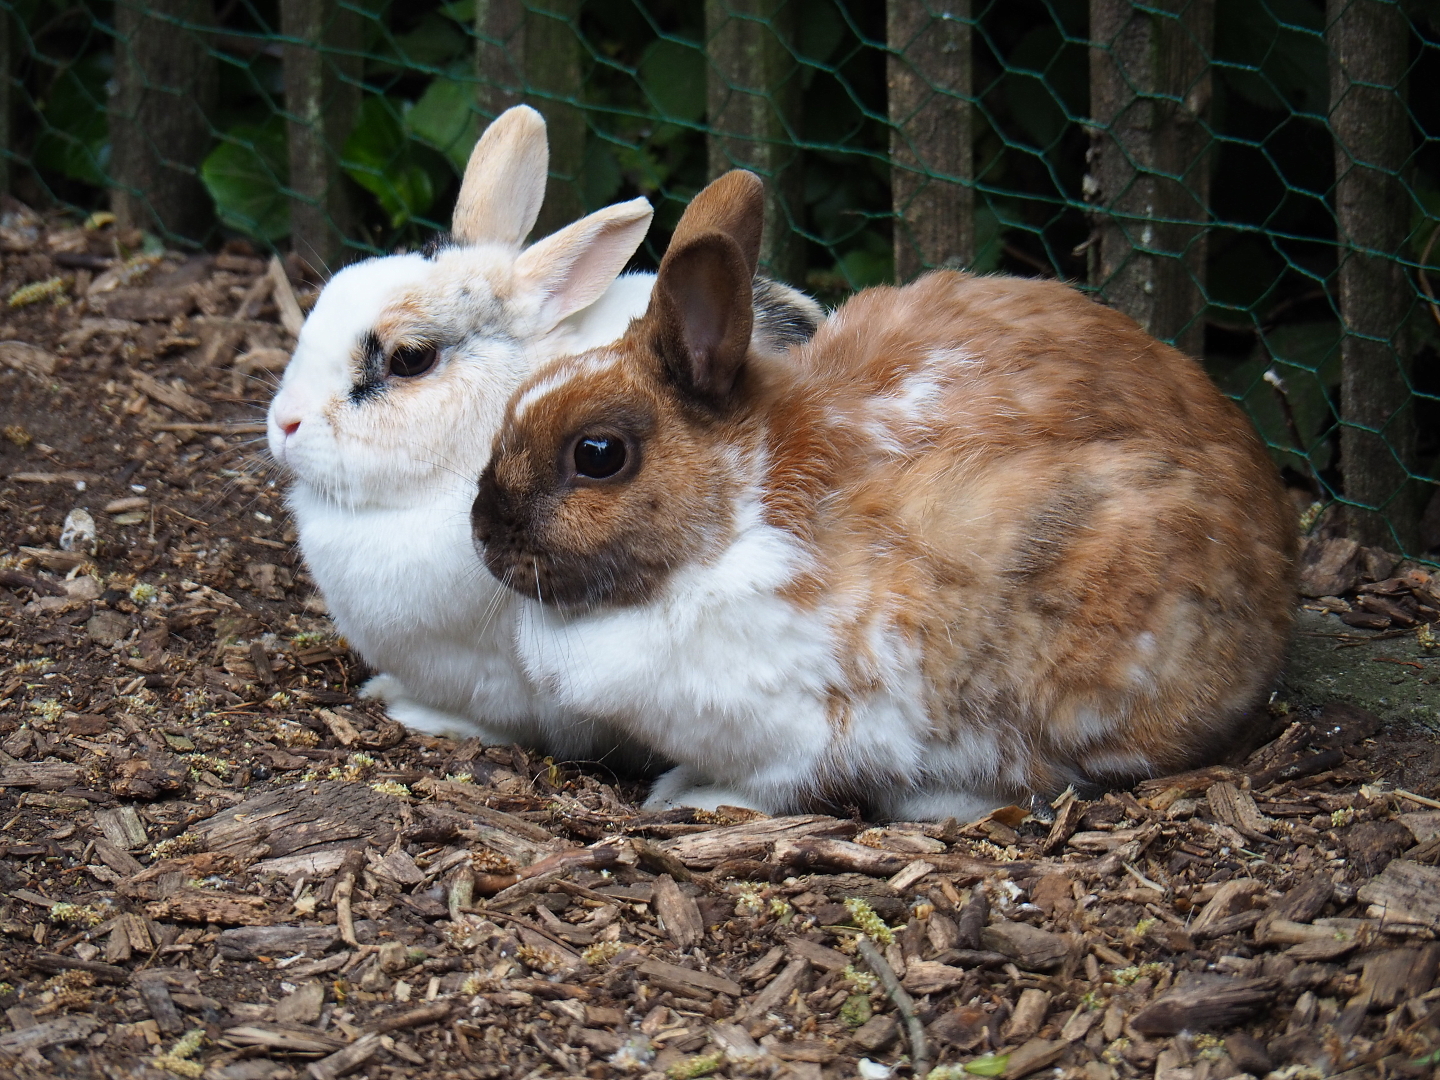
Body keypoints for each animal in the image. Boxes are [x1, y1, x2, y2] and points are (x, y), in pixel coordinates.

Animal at [471, 169, 1297, 822]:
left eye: (599, 455)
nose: (483, 535)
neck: (739, 514)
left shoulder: (824, 723)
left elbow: (785, 785)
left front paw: (690, 796)